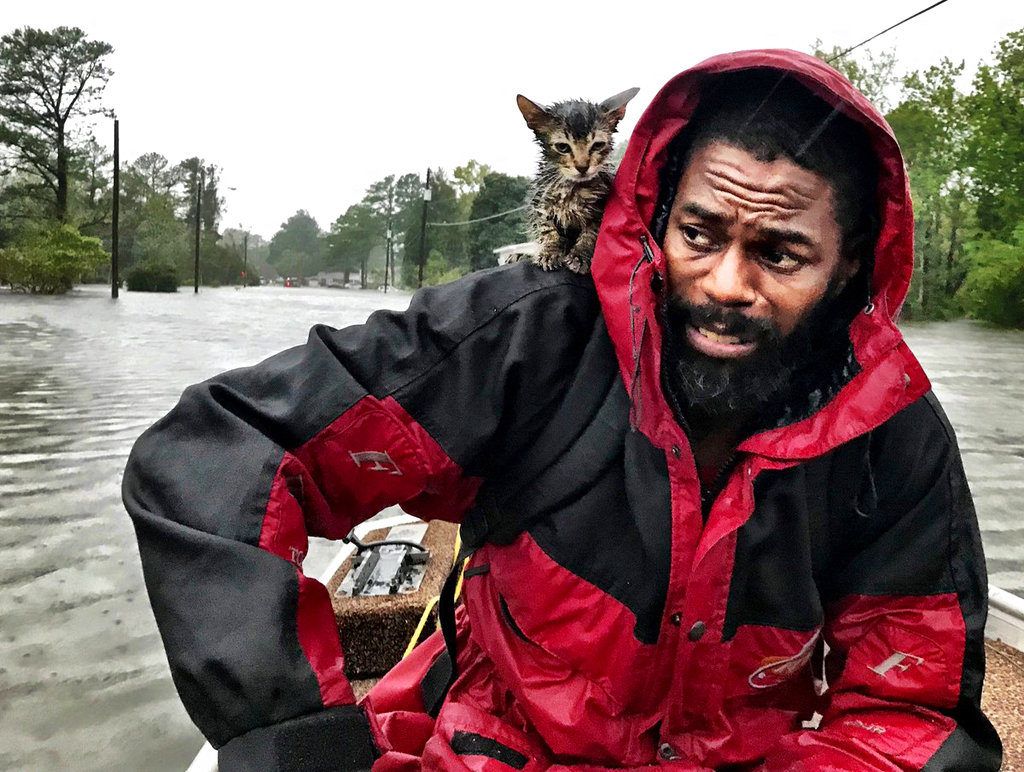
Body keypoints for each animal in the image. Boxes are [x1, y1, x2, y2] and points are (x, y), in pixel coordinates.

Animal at [516, 88, 634, 274]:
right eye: (563, 147)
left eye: (598, 145)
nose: (582, 166)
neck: (574, 188)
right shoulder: (539, 202)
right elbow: (545, 228)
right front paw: (549, 250)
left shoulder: (601, 209)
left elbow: (591, 233)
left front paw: (580, 255)